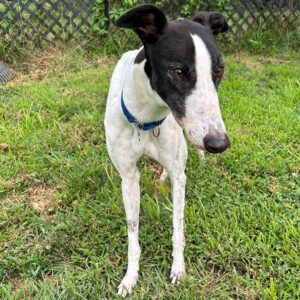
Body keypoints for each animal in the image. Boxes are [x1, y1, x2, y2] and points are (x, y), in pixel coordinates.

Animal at [105, 4, 230, 296]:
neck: (146, 119)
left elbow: (178, 226)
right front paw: (130, 277)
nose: (219, 144)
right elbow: (133, 232)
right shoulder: (128, 178)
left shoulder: (179, 175)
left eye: (219, 69)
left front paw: (178, 268)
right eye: (178, 72)